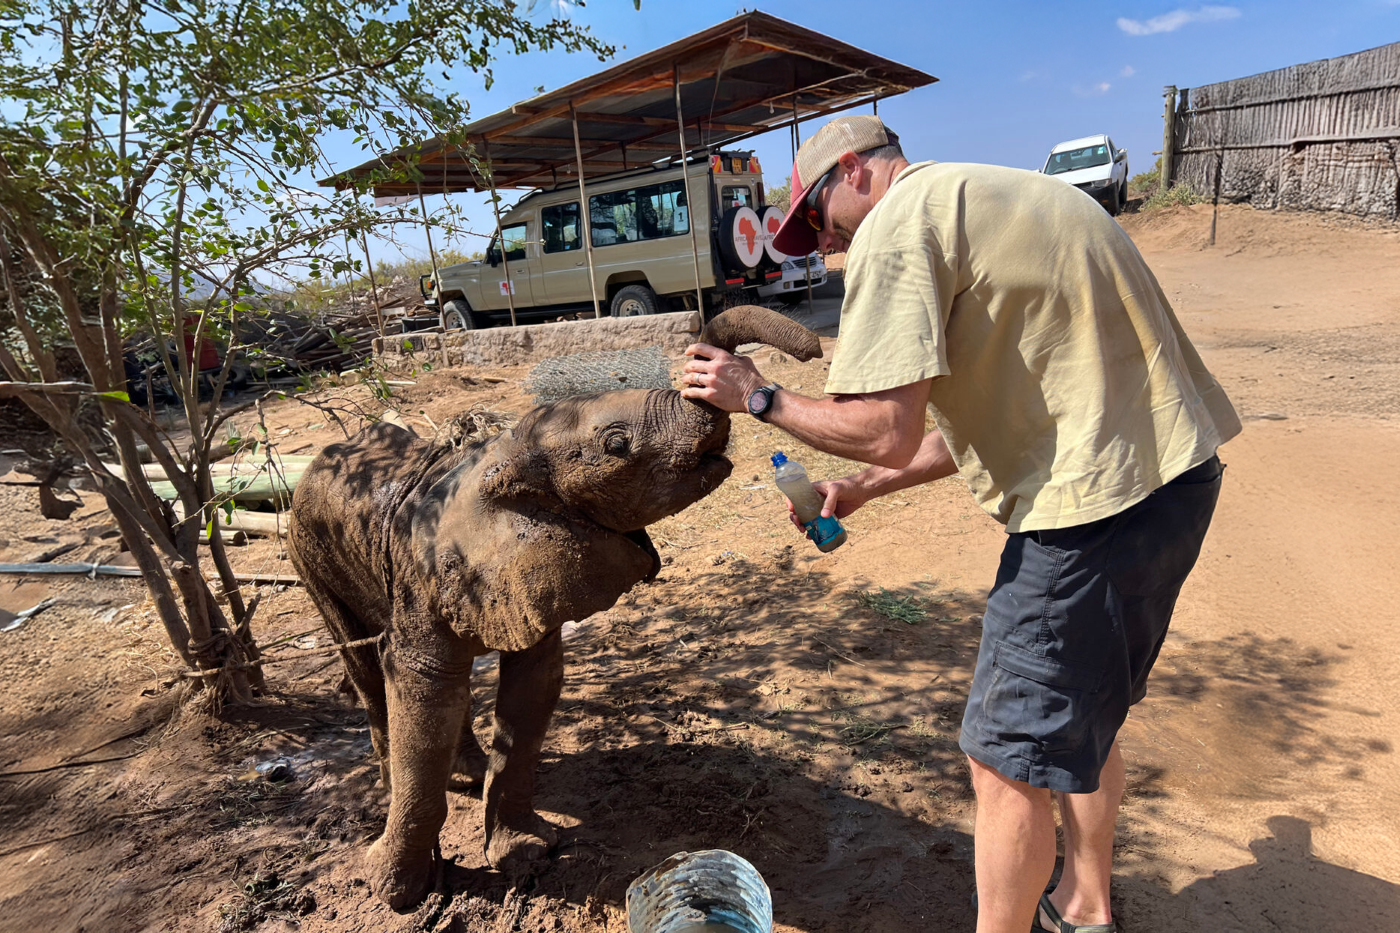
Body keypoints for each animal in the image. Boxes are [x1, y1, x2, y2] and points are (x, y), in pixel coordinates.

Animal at [287, 306, 820, 909]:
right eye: (616, 445)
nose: (813, 350)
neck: (498, 459)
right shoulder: (423, 576)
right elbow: (420, 691)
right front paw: (394, 893)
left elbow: (533, 686)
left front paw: (527, 854)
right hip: (308, 553)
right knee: (364, 664)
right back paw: (392, 783)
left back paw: (466, 775)